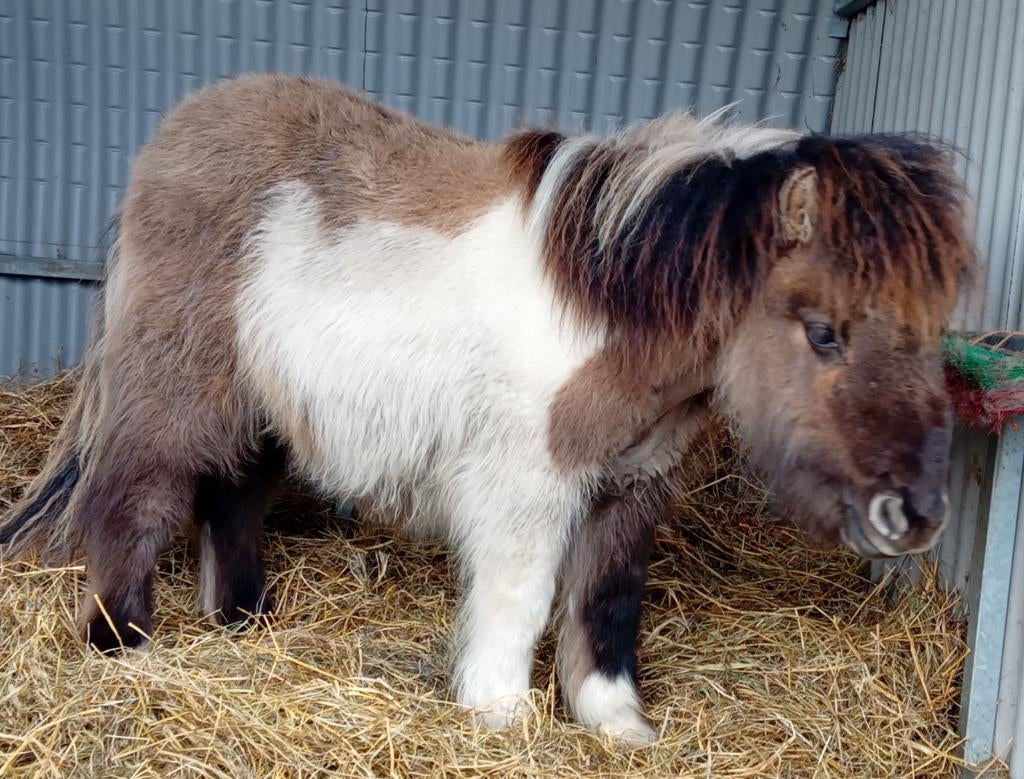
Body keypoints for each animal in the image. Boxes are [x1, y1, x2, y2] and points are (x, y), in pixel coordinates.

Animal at [0, 74, 973, 743]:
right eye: (824, 332)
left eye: (934, 327)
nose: (916, 514)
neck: (610, 301)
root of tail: (173, 137)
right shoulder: (531, 482)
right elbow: (523, 592)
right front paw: (500, 710)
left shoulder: (633, 485)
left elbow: (607, 602)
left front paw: (616, 723)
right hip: (177, 394)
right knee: (133, 501)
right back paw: (123, 643)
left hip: (263, 415)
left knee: (230, 502)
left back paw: (242, 623)